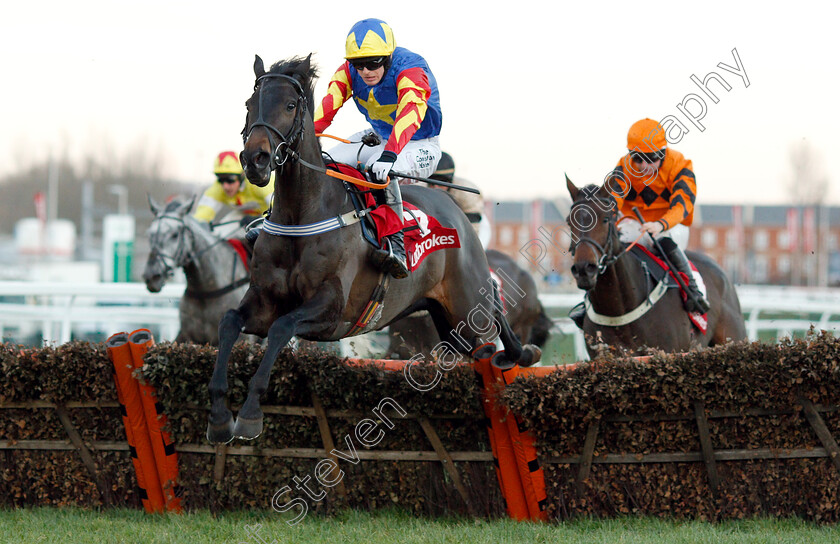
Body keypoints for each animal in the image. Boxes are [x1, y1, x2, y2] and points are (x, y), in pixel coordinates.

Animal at [141, 198, 251, 346]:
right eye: (149, 235)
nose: (152, 276)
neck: (206, 290)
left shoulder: (242, 339)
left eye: (175, 235)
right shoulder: (189, 337)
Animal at [568, 176, 744, 360]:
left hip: (732, 336)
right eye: (569, 222)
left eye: (605, 219)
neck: (618, 310)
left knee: (667, 241)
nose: (584, 269)